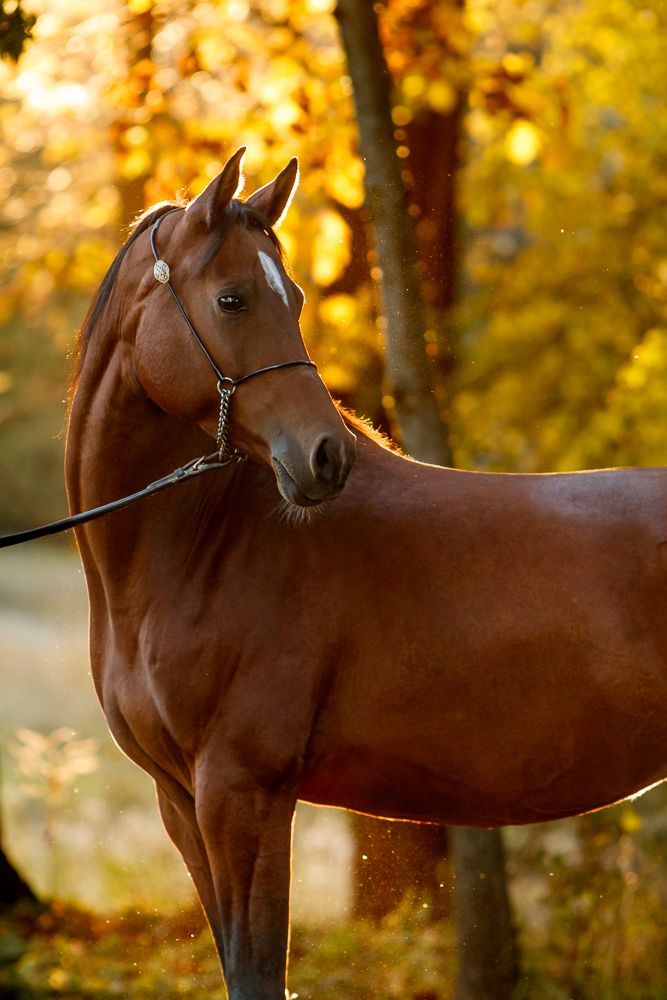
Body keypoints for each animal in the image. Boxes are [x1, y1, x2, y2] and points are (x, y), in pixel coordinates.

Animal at [67, 147, 667, 999]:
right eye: (232, 298)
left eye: (293, 296)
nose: (325, 457)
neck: (200, 549)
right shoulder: (181, 801)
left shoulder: (243, 795)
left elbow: (258, 973)